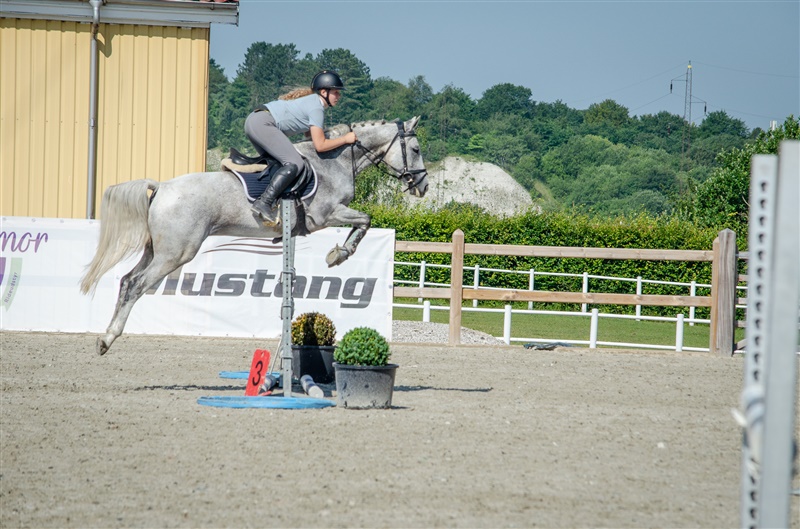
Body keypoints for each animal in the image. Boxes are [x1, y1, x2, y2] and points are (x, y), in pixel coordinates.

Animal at [80, 117, 429, 356]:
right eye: (415, 149)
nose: (423, 187)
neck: (336, 161)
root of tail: (162, 187)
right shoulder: (326, 215)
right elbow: (365, 220)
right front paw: (339, 254)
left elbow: (363, 222)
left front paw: (338, 253)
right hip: (176, 253)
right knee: (137, 285)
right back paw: (108, 339)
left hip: (156, 250)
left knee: (127, 280)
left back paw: (105, 336)